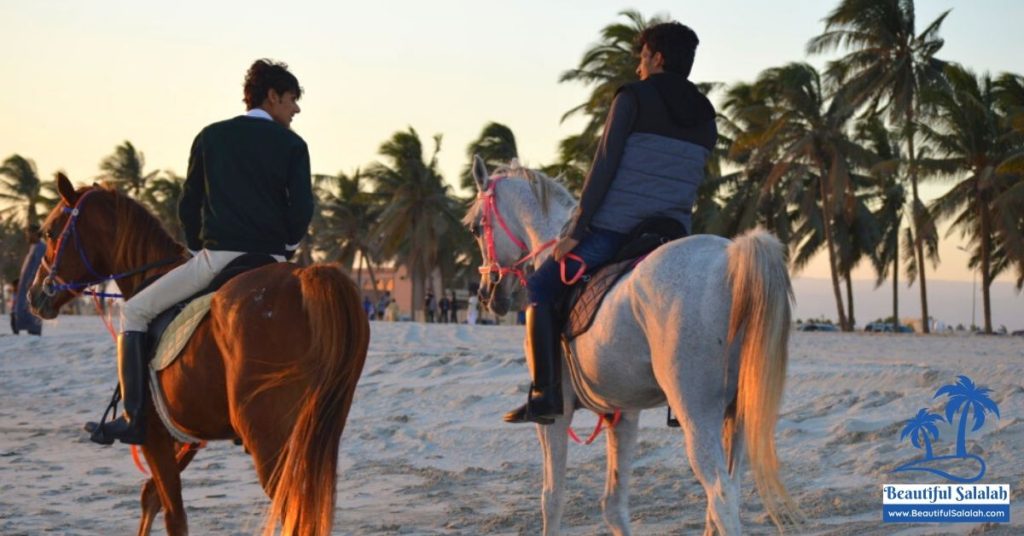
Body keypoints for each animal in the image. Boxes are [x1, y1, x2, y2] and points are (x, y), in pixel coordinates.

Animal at [27, 174, 372, 532]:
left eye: (50, 233)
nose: (34, 294)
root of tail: (304, 279)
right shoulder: (186, 434)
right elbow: (151, 496)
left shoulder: (154, 435)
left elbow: (173, 514)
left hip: (271, 442)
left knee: (293, 510)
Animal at [468, 159, 802, 536]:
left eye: (477, 228)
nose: (487, 293)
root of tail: (731, 256)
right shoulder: (622, 413)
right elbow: (613, 506)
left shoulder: (555, 414)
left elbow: (551, 499)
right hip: (738, 415)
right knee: (727, 493)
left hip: (697, 413)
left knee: (721, 494)